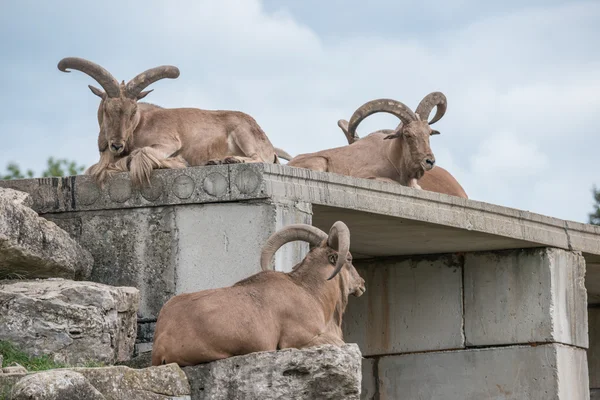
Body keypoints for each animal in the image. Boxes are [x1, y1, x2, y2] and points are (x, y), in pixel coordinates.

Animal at [58, 57, 282, 187]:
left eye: (133, 111)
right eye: (107, 109)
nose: (116, 145)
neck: (139, 126)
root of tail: (269, 144)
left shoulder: (169, 142)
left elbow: (141, 154)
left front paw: (175, 162)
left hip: (243, 133)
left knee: (257, 158)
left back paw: (232, 159)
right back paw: (218, 160)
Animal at [290, 92, 454, 191]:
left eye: (429, 133)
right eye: (407, 134)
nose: (429, 161)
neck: (392, 159)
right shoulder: (363, 175)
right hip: (319, 161)